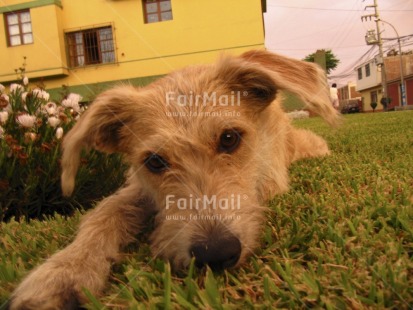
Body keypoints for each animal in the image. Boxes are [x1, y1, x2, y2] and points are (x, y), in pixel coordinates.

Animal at [8, 49, 338, 308]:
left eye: (229, 138)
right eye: (155, 161)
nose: (215, 253)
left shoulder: (271, 178)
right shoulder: (136, 187)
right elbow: (104, 213)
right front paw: (64, 271)